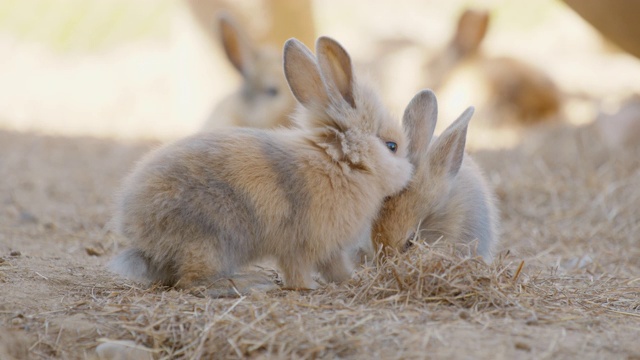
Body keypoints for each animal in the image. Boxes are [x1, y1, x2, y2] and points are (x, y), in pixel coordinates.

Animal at [109, 35, 416, 292]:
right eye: (392, 146)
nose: (409, 174)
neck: (340, 163)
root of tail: (139, 236)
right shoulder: (303, 246)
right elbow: (299, 271)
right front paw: (308, 288)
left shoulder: (331, 250)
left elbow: (336, 269)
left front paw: (350, 281)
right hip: (211, 241)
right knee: (191, 282)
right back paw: (250, 284)